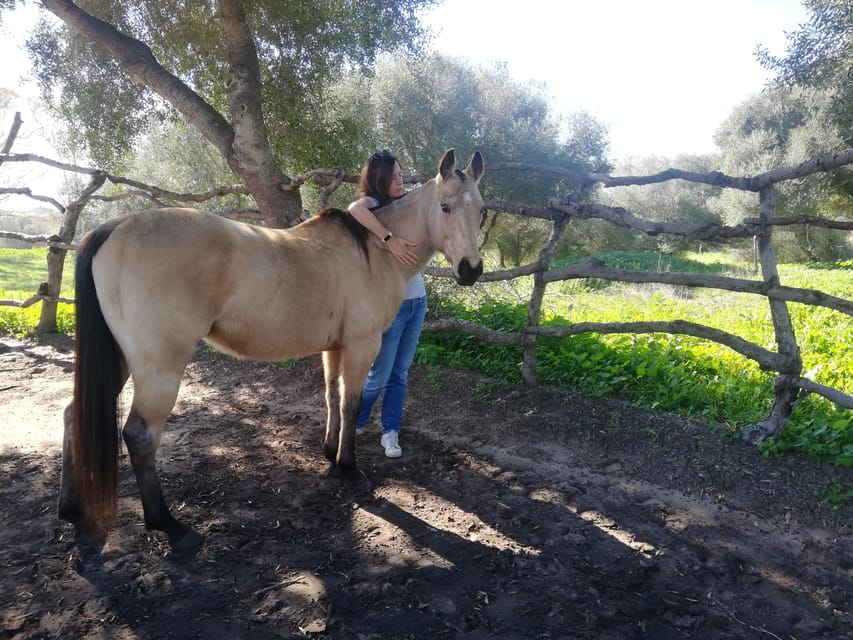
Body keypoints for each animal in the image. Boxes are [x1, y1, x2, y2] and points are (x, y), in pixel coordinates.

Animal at [59, 148, 485, 553]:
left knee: (72, 415)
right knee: (140, 436)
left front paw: (330, 455)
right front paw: (350, 469)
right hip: (159, 367)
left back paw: (75, 514)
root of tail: (113, 228)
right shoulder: (362, 345)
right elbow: (351, 404)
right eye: (445, 206)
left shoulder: (335, 347)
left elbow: (331, 398)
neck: (375, 249)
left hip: (120, 361)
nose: (472, 270)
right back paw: (173, 529)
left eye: (480, 211)